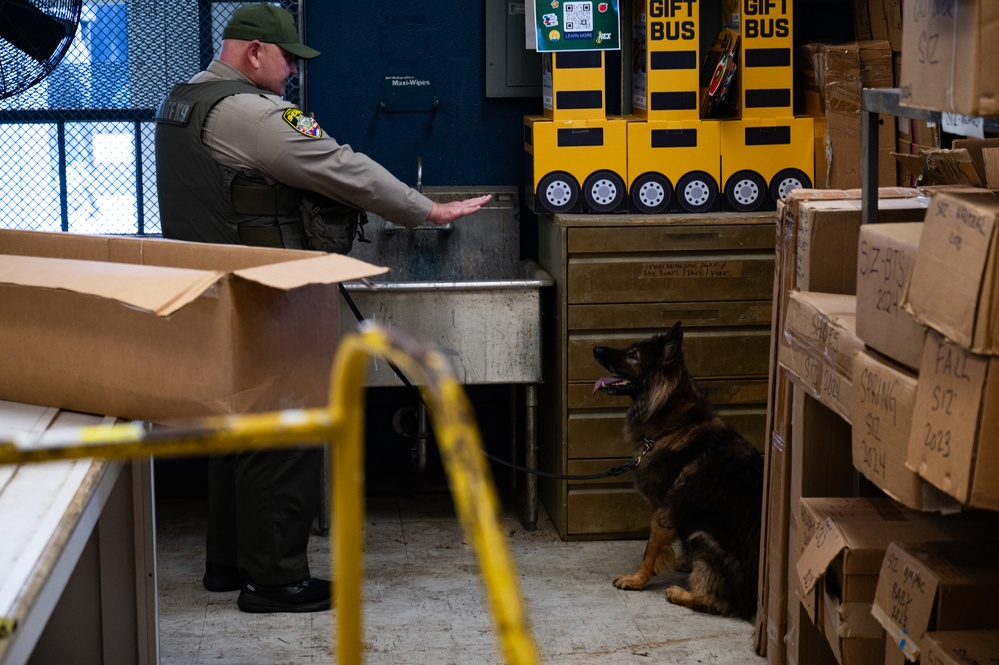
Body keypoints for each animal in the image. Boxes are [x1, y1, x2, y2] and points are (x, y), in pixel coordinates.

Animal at [592, 322, 764, 616]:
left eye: (633, 355)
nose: (596, 349)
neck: (673, 424)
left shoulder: (663, 511)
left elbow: (649, 550)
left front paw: (636, 580)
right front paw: (685, 562)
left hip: (703, 535)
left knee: (720, 603)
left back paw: (681, 593)